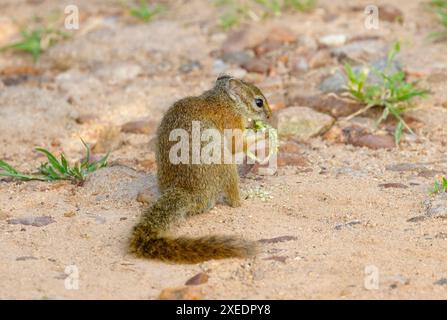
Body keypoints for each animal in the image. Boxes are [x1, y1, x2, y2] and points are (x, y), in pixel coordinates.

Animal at [128, 75, 272, 262]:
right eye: (259, 102)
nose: (269, 116)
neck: (225, 101)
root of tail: (187, 192)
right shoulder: (231, 123)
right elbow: (238, 144)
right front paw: (264, 134)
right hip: (227, 166)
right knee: (234, 200)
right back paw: (243, 198)